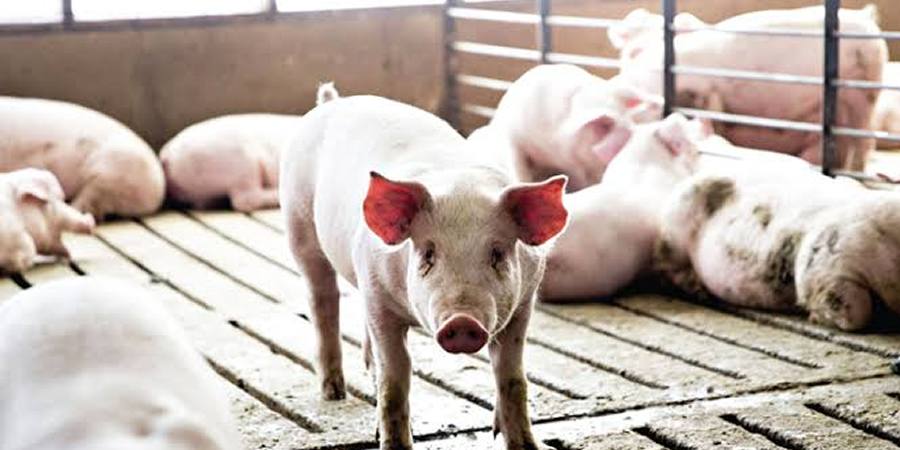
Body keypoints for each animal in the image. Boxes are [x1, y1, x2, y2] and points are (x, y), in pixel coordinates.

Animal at [280, 84, 568, 449]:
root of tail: (332, 103)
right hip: (298, 225)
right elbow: (395, 381)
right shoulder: (380, 299)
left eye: (498, 254)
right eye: (428, 255)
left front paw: (523, 443)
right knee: (322, 300)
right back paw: (334, 392)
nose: (462, 322)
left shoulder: (523, 303)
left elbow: (513, 377)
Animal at [655, 162, 900, 331]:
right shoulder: (825, 262)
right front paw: (814, 315)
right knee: (667, 265)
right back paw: (698, 290)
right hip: (673, 226)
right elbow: (857, 312)